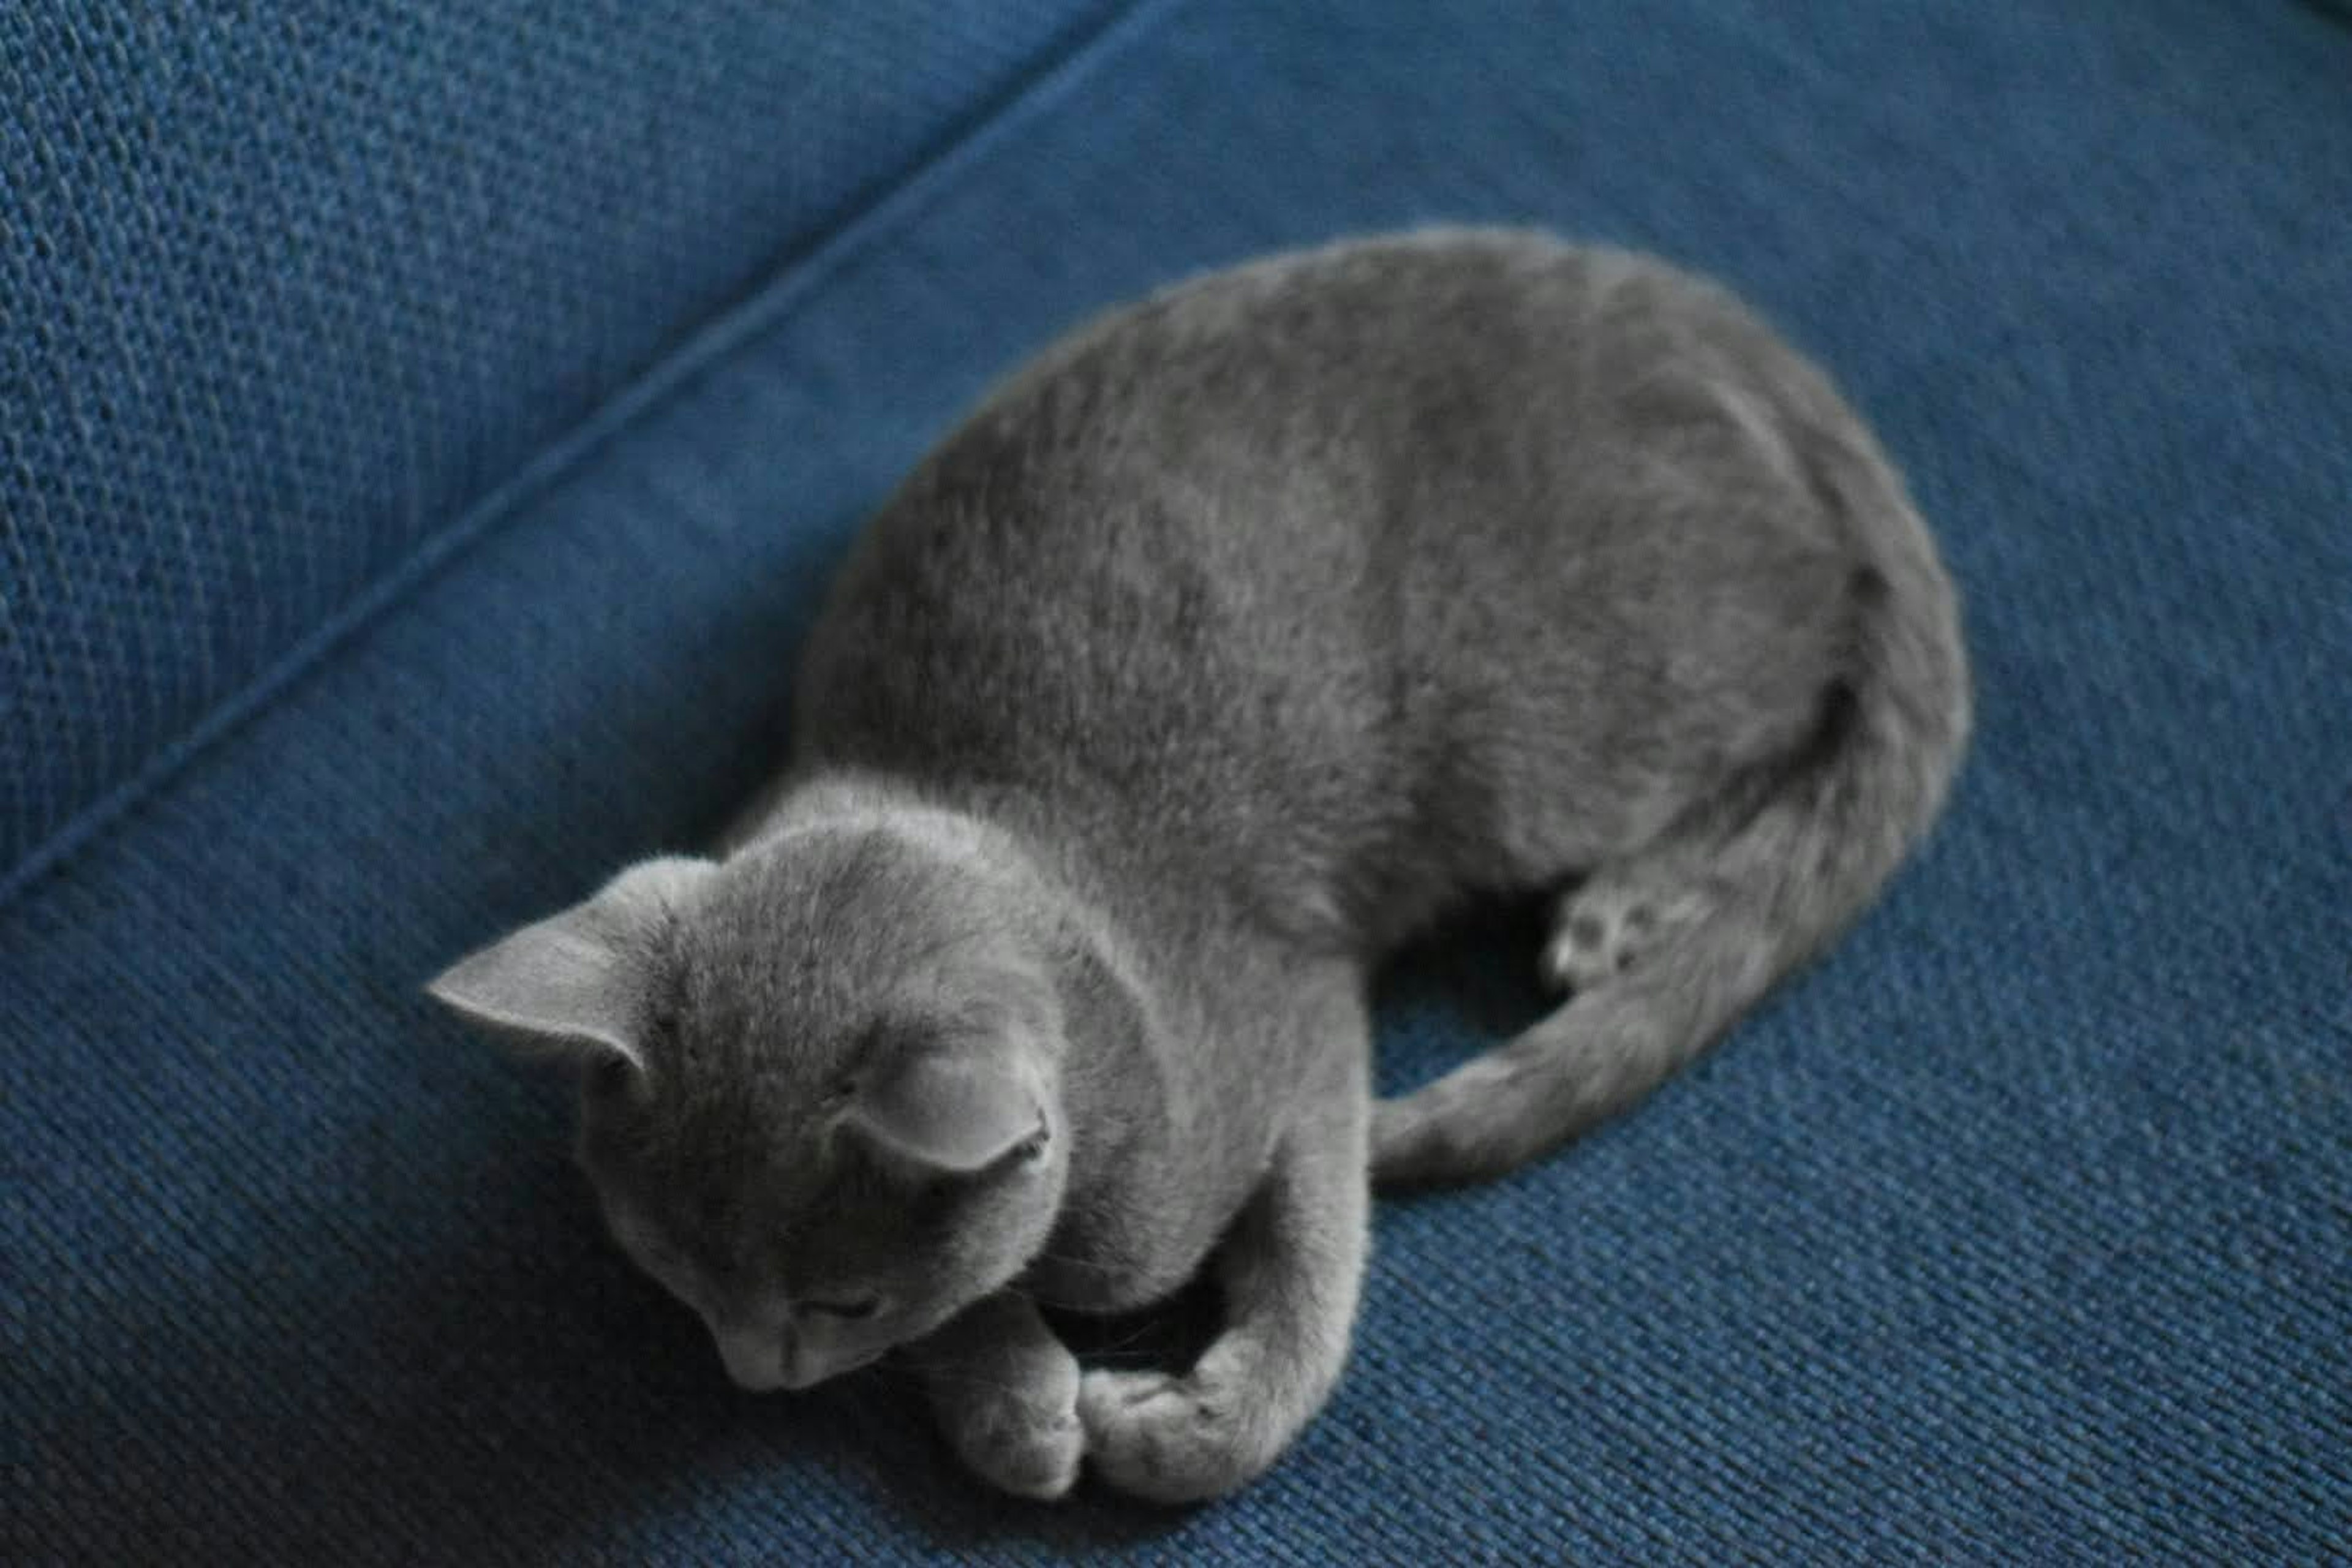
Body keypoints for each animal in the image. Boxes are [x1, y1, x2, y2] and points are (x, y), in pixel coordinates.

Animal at [428, 227, 1966, 1504]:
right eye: (669, 1271)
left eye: (841, 1304)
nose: (754, 1375)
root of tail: (1717, 325)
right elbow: (981, 1284)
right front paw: (1011, 1399)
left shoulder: (1294, 1023)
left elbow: (1313, 1246)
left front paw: (1197, 1420)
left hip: (1557, 730)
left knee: (1794, 716)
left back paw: (1629, 906)